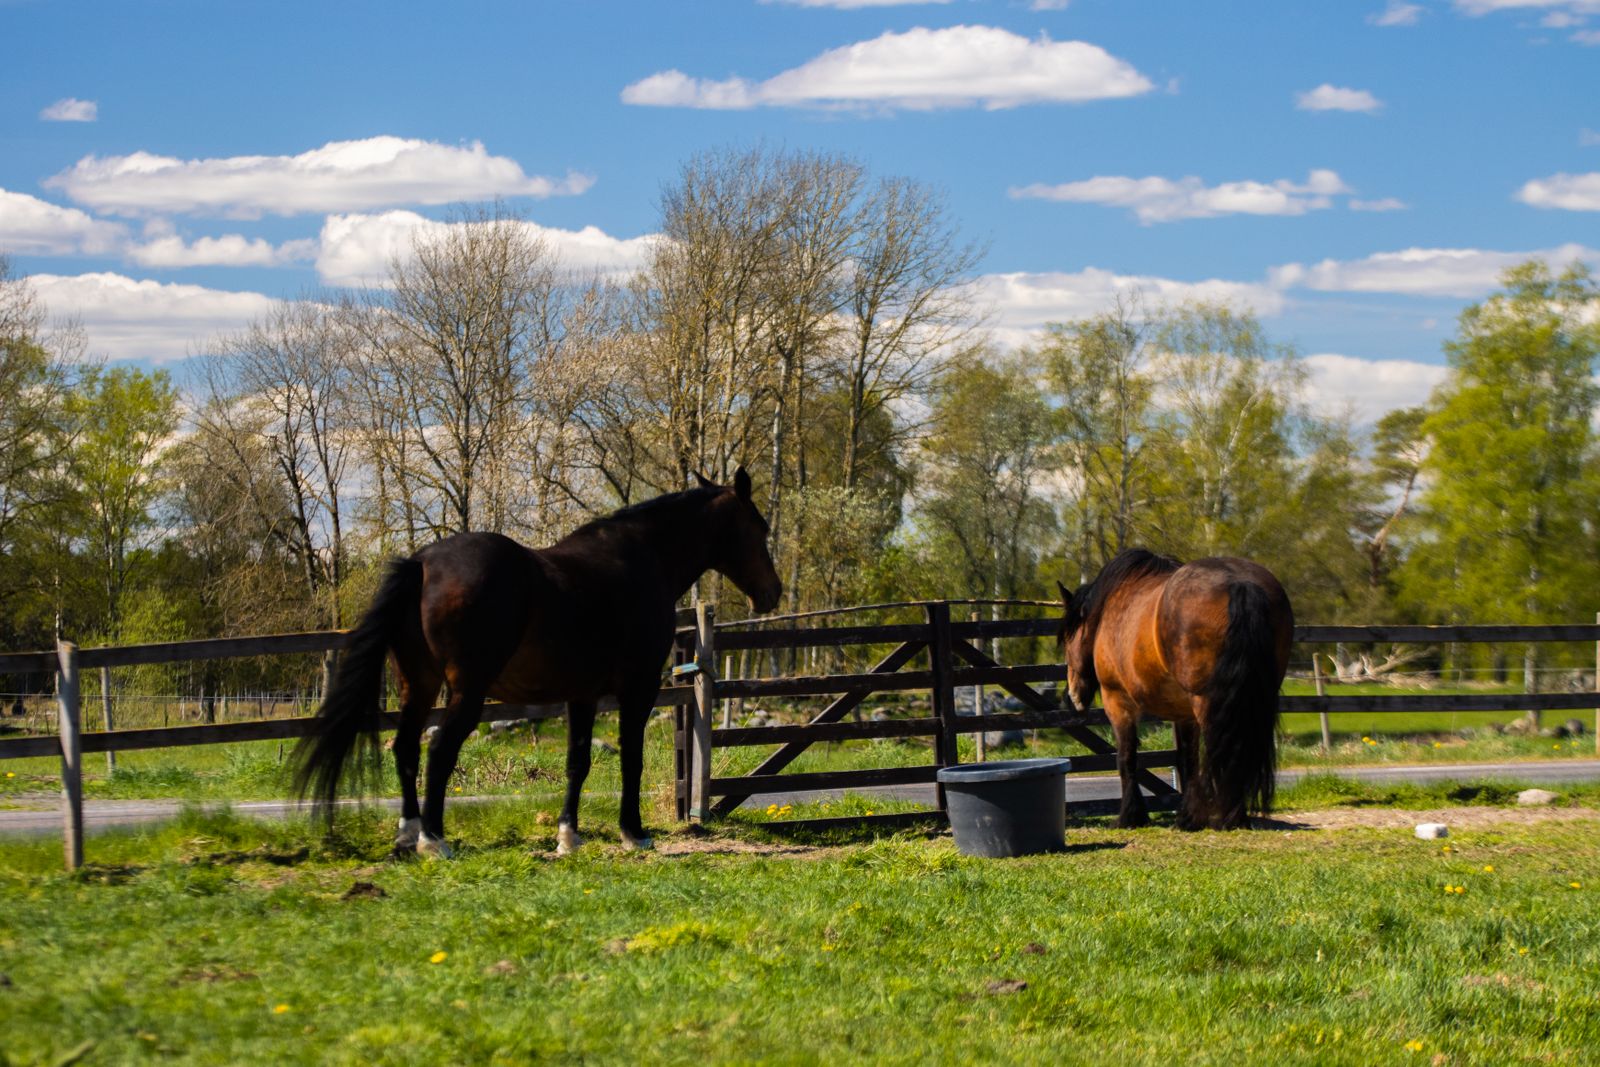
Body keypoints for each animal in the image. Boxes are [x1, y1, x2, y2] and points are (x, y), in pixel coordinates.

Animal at [293, 468, 781, 858]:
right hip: (466, 692)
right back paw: (434, 840)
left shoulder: (582, 696)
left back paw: (408, 834)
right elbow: (632, 758)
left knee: (407, 749)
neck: (645, 560)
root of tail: (423, 563)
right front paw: (633, 832)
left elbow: (578, 762)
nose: (772, 592)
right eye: (760, 528)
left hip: (419, 684)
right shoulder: (637, 689)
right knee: (439, 751)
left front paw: (569, 837)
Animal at [1056, 549, 1293, 830]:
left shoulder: (1118, 701)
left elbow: (1126, 758)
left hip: (1208, 703)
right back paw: (1234, 815)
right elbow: (1186, 760)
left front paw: (1130, 816)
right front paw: (1188, 816)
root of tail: (1241, 584)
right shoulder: (1184, 713)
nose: (1072, 695)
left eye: (1067, 639)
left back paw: (1228, 816)